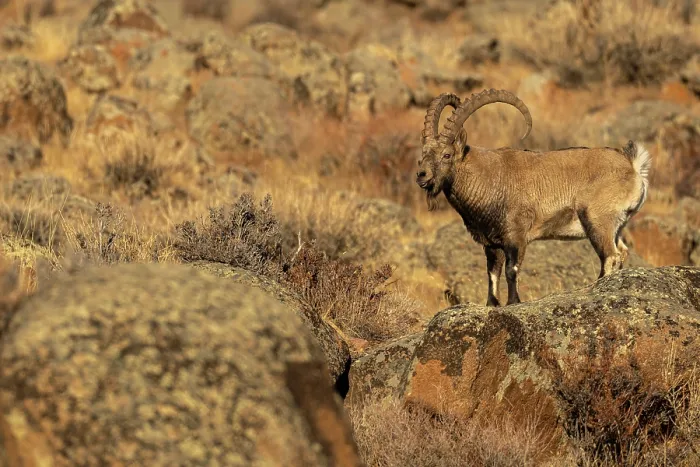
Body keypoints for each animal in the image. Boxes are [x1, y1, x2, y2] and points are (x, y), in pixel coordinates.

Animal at [416, 89, 651, 306]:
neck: (488, 178)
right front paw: (492, 304)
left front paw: (513, 302)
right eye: (422, 156)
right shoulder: (491, 243)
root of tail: (632, 165)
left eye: (446, 155)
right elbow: (492, 274)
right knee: (621, 252)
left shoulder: (516, 236)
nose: (421, 175)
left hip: (596, 220)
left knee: (610, 255)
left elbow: (511, 270)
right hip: (617, 225)